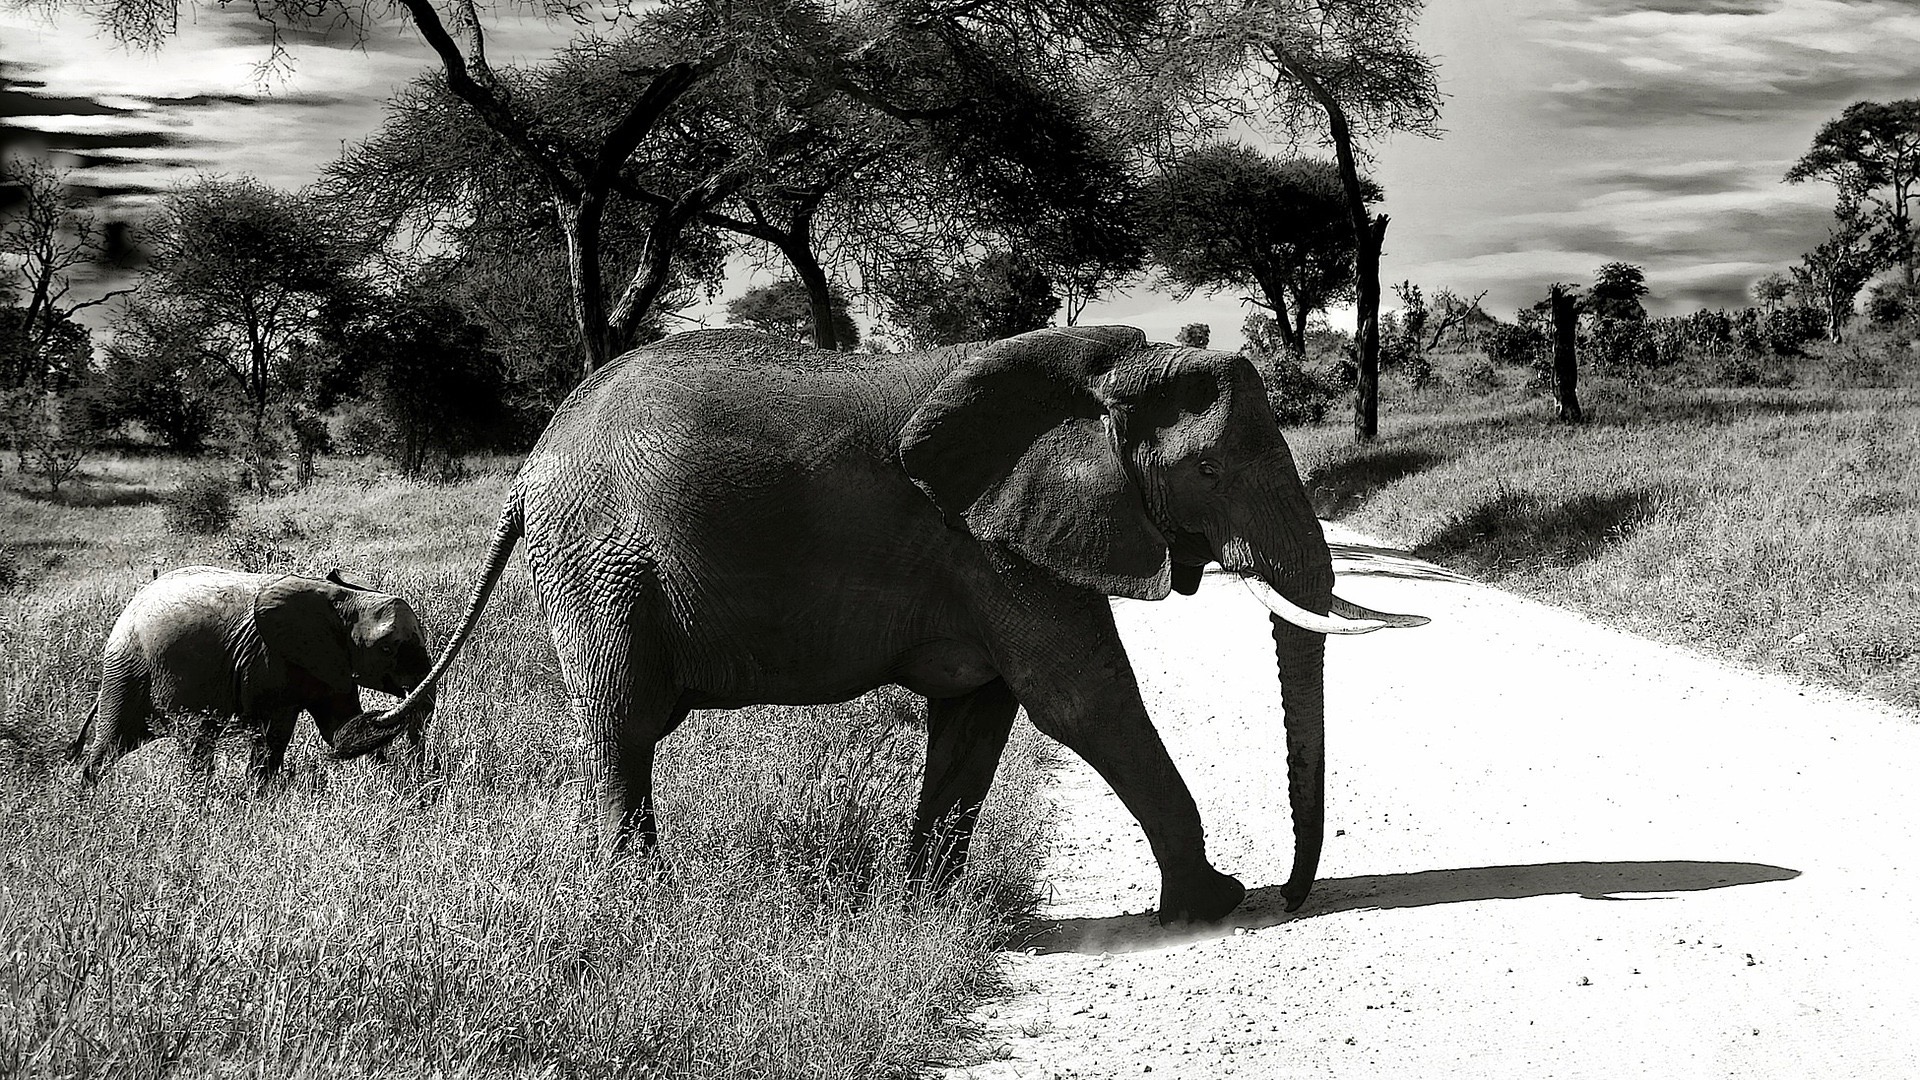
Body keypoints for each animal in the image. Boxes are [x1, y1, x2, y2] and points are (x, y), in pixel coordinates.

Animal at [69, 566, 435, 794]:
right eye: (388, 648)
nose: (409, 695)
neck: (343, 598)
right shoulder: (271, 658)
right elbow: (275, 732)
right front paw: (259, 797)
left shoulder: (329, 660)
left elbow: (342, 730)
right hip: (127, 668)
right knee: (133, 739)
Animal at [336, 326, 1425, 924]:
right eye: (1207, 471)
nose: (1294, 894)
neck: (1102, 368)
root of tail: (526, 469)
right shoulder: (990, 542)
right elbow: (1082, 701)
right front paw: (1215, 905)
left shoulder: (990, 547)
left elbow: (983, 715)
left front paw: (919, 913)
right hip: (596, 565)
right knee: (622, 726)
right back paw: (642, 903)